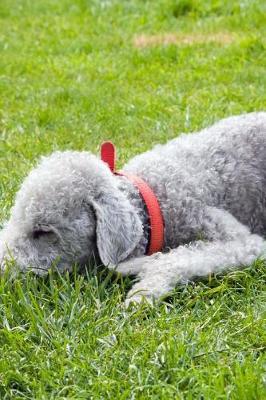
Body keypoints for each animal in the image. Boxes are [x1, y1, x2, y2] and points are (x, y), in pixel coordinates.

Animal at [0, 111, 266, 304]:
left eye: (43, 232)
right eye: (14, 220)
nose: (2, 271)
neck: (151, 201)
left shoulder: (238, 238)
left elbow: (181, 258)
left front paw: (144, 290)